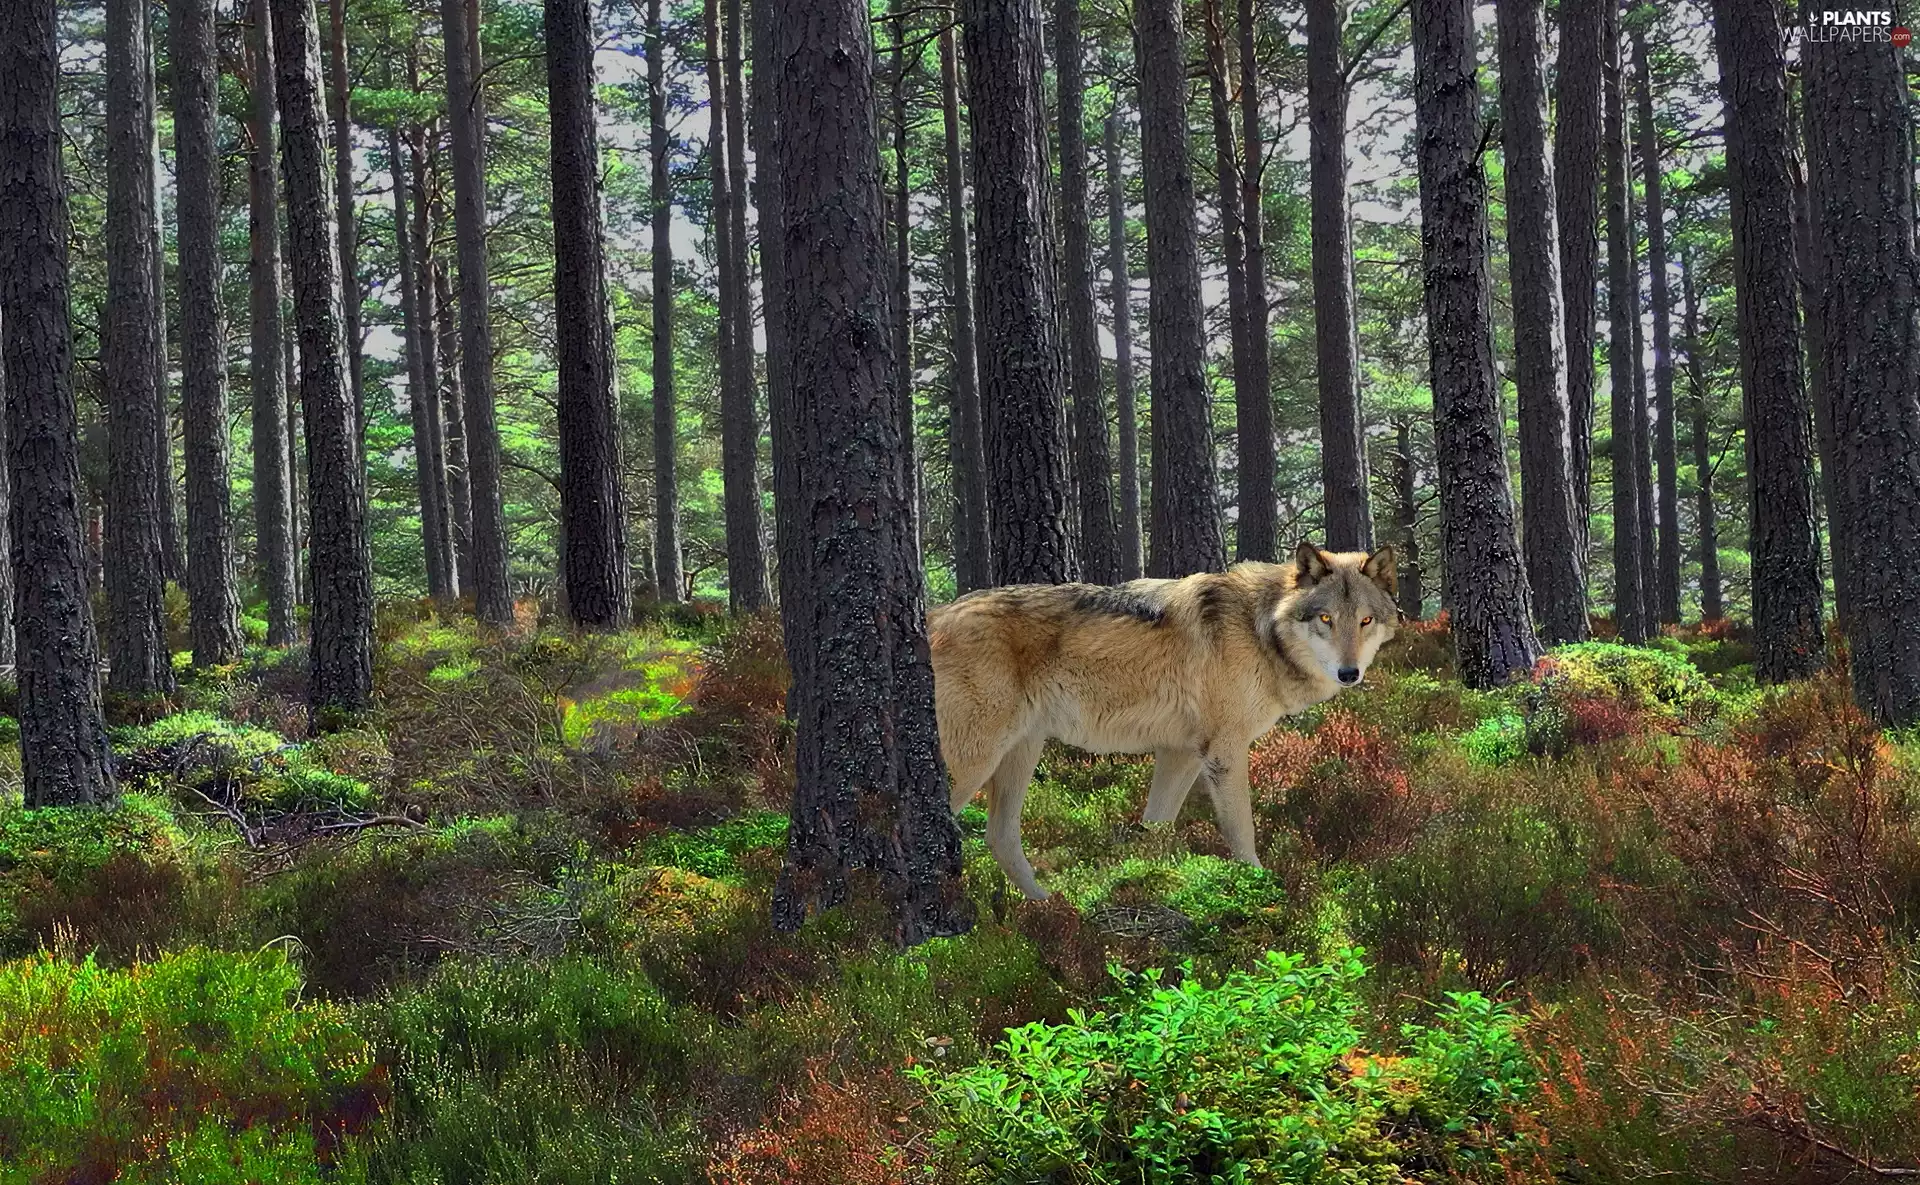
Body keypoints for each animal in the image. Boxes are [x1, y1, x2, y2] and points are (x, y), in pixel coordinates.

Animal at [928, 542, 1400, 899]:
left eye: (1365, 620)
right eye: (1326, 619)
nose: (1349, 673)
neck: (1258, 629)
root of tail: (933, 614)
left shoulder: (1181, 754)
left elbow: (1154, 827)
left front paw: (1146, 881)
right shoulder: (1223, 754)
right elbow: (1242, 833)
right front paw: (1262, 890)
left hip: (1020, 754)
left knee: (1000, 838)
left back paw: (1049, 912)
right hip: (974, 763)